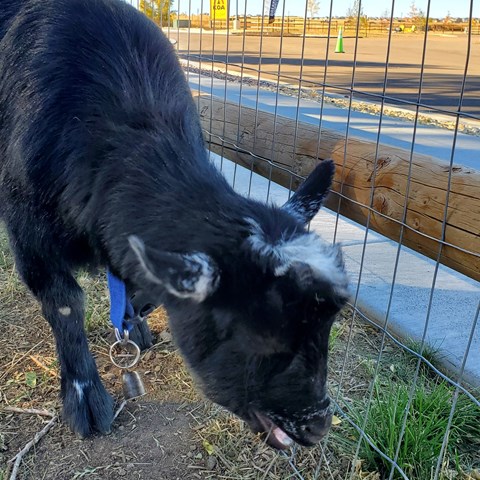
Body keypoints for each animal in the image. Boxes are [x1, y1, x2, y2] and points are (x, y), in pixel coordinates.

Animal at [0, 0, 348, 448]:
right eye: (259, 334)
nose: (317, 426)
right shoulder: (29, 233)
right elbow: (64, 306)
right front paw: (85, 397)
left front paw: (135, 324)